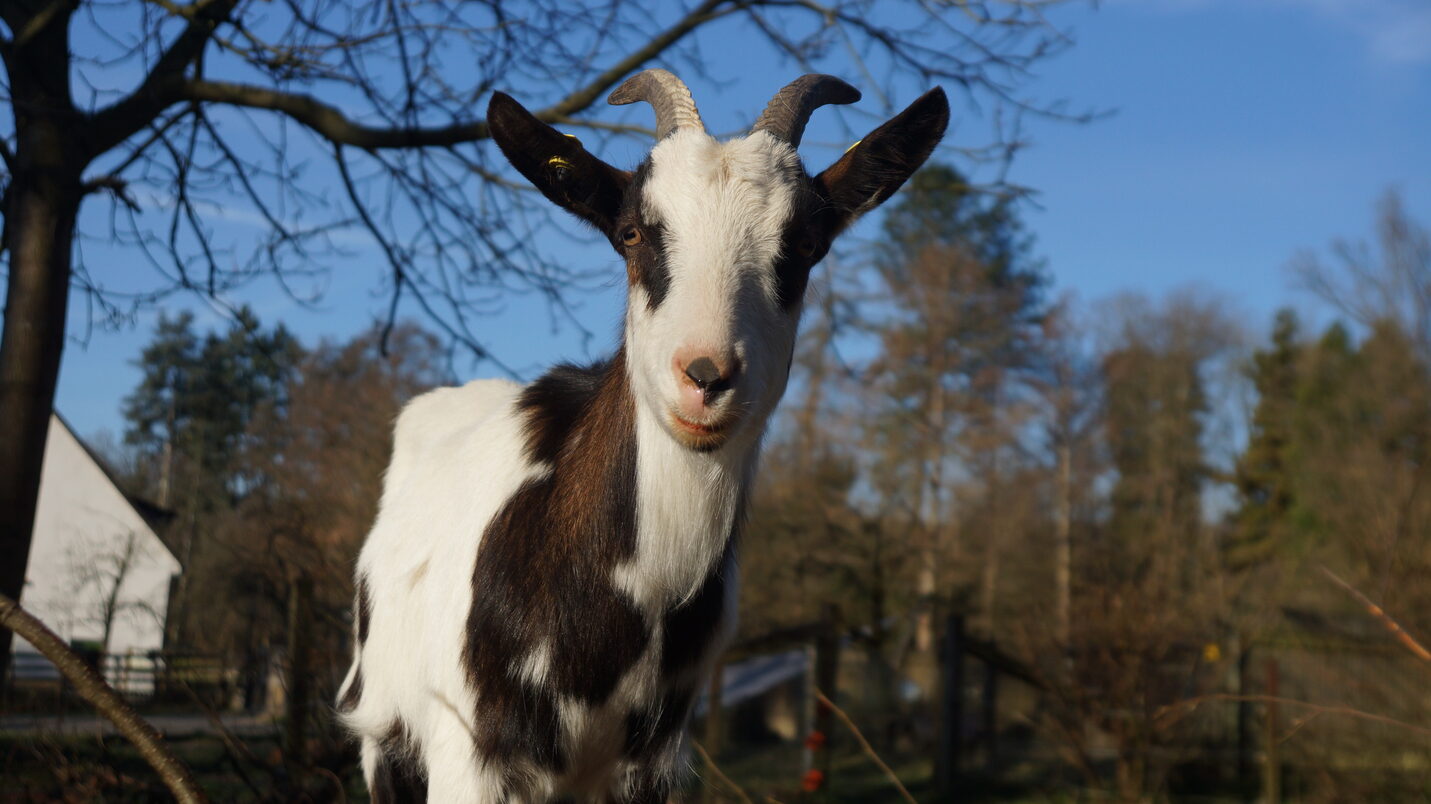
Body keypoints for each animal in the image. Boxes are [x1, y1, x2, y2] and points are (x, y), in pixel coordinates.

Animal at [336, 69, 948, 803]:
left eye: (805, 244)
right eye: (630, 233)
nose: (707, 376)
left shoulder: (652, 764)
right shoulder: (467, 753)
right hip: (386, 738)